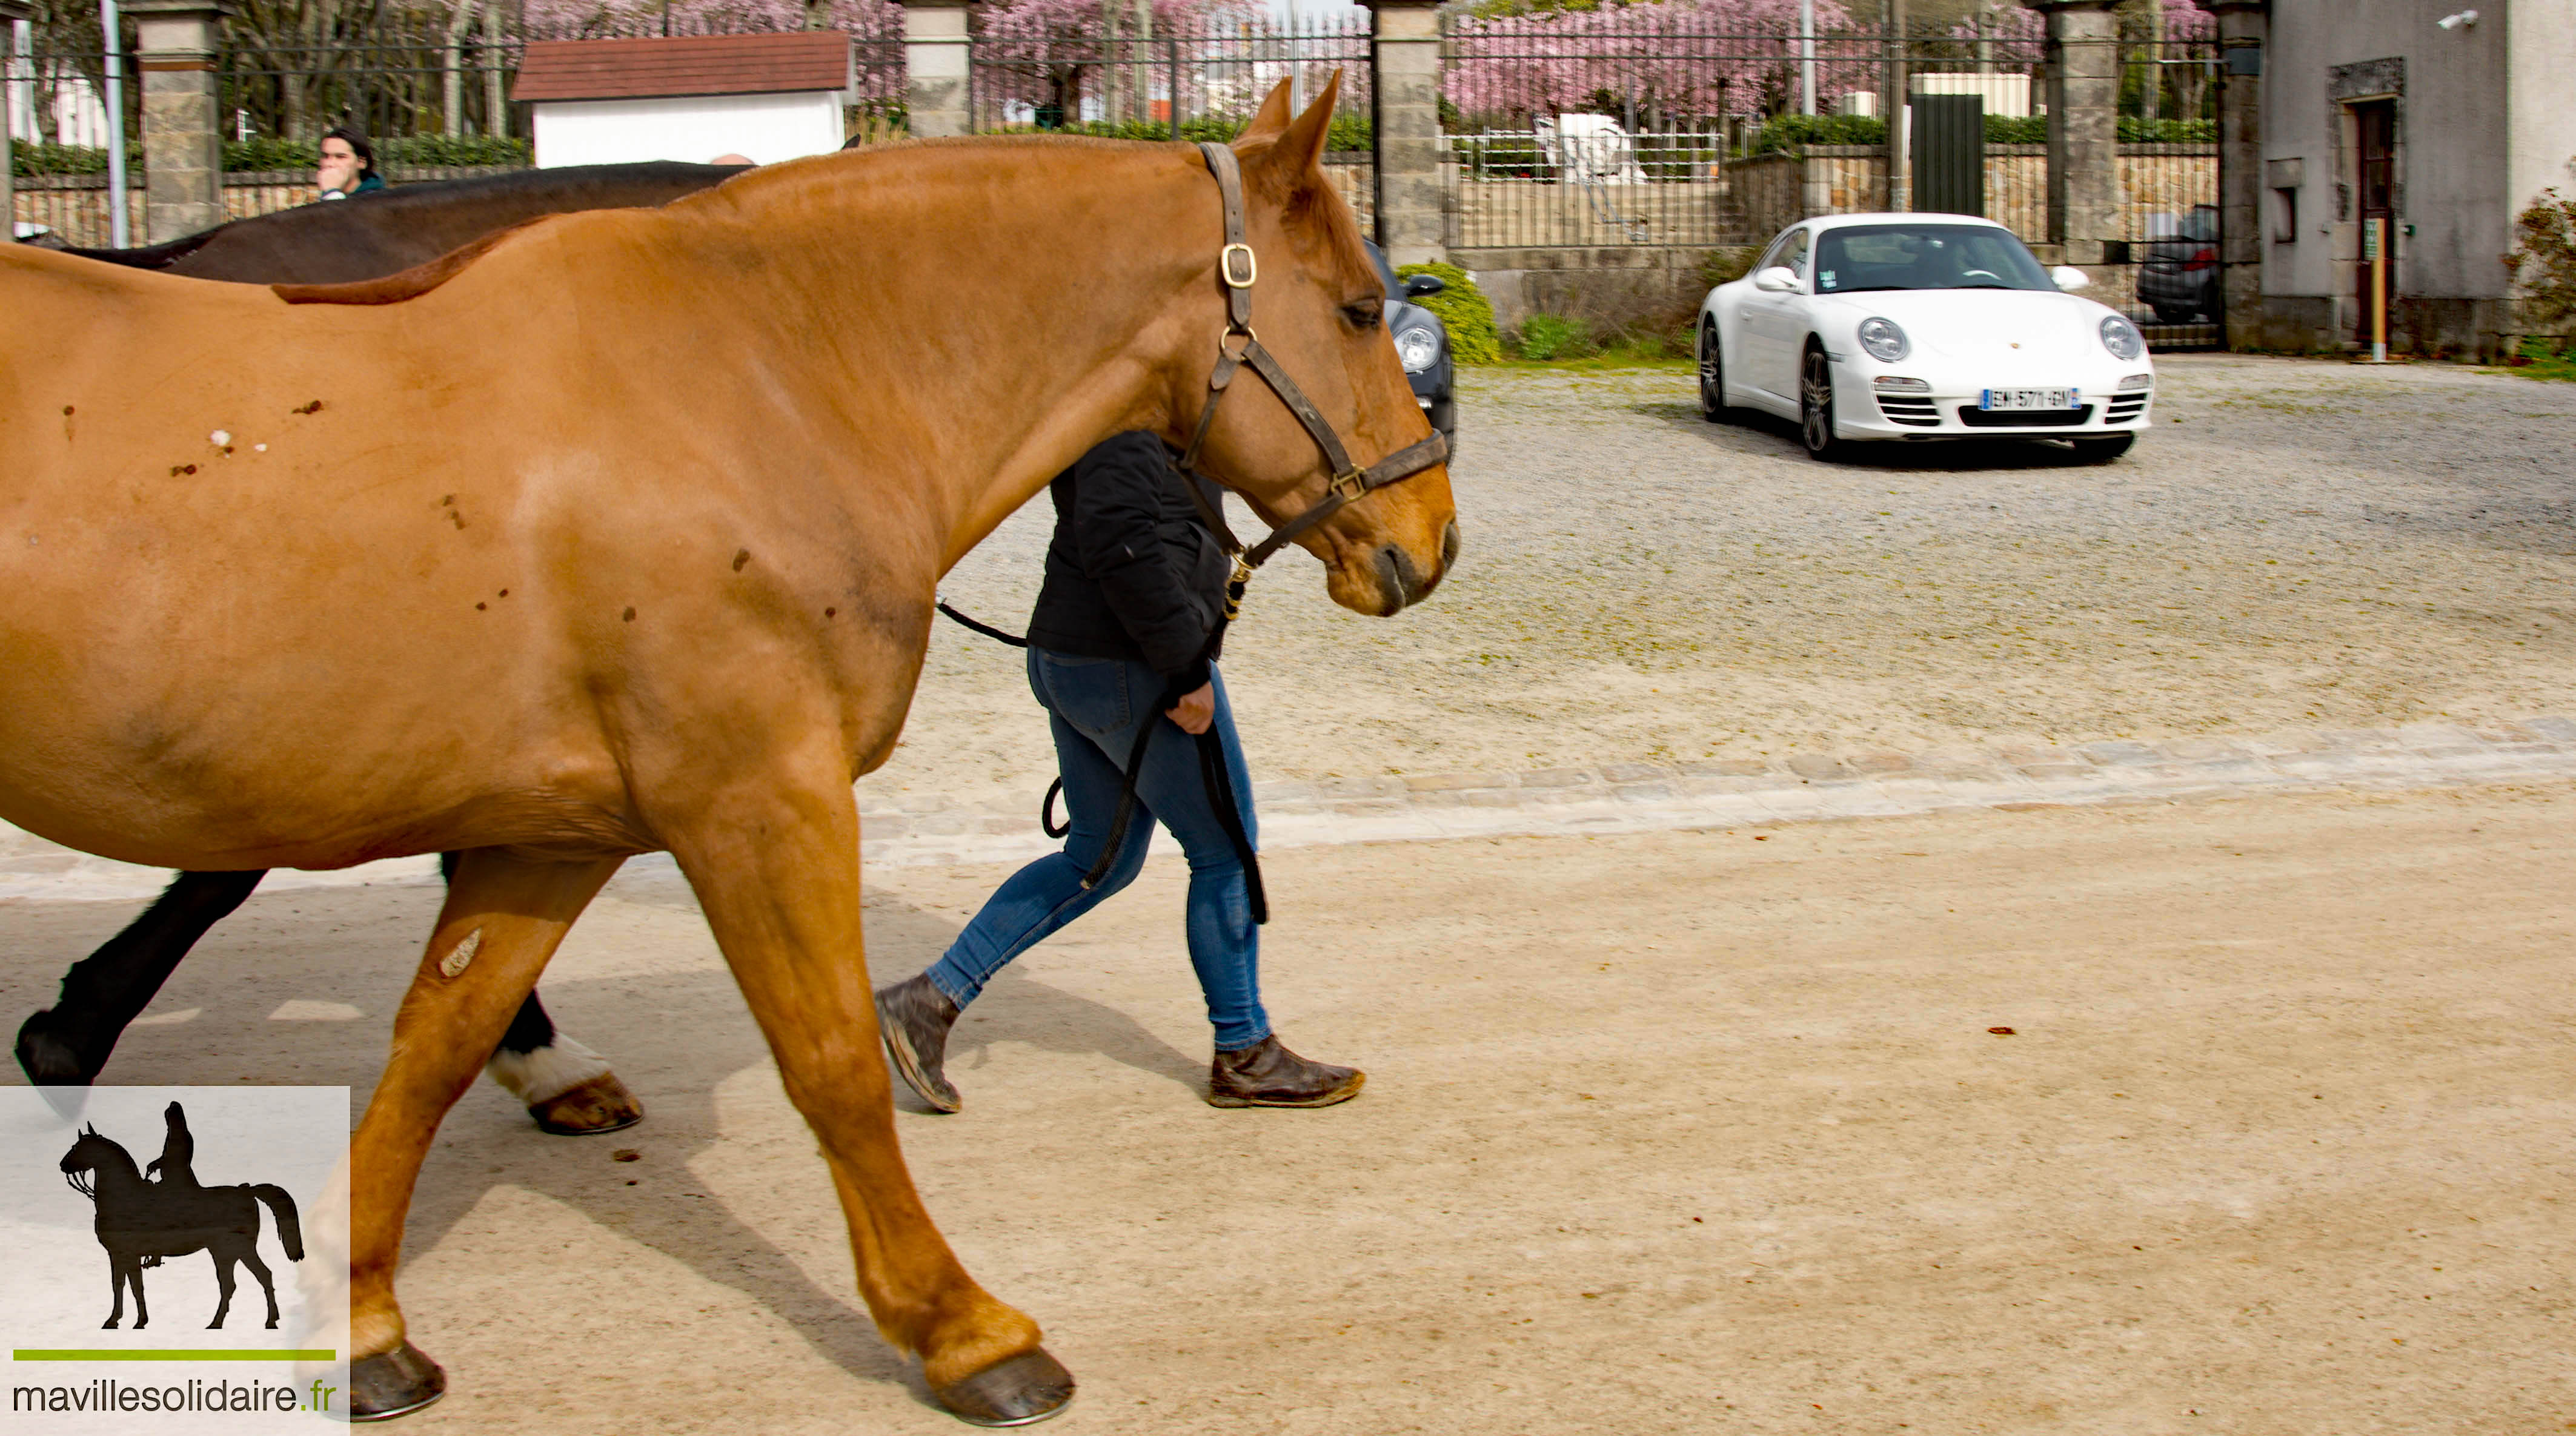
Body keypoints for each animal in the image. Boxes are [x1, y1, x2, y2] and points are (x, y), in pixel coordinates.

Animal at [0, 81, 1453, 1431]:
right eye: (1357, 311)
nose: (1430, 537)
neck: (769, 374)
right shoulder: (758, 800)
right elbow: (836, 1066)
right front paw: (963, 1329)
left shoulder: (550, 834)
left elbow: (433, 1047)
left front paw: (361, 1324)